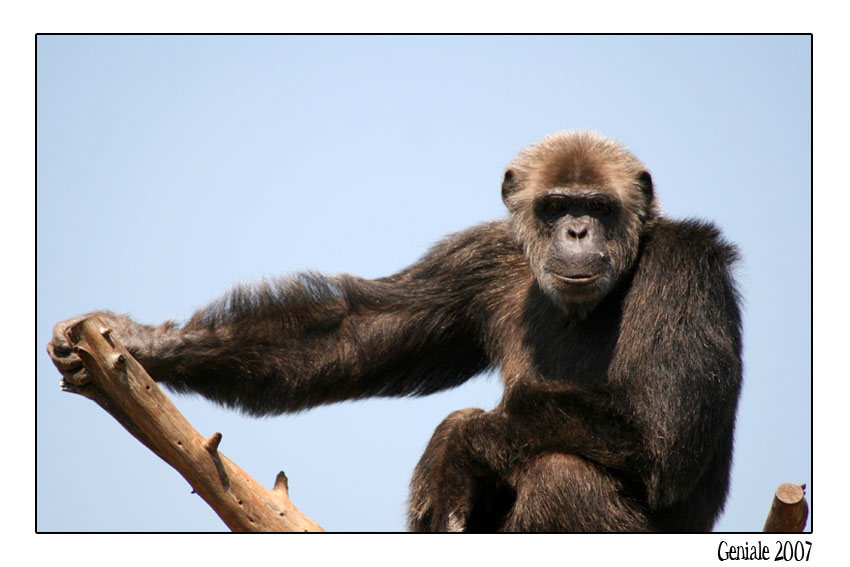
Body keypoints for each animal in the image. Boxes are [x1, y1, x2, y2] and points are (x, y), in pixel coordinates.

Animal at [48, 131, 742, 532]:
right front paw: (139, 342)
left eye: (597, 205)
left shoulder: (687, 273)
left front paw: (458, 440)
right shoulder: (475, 262)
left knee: (563, 475)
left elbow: (661, 430)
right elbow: (354, 332)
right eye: (555, 206)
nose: (576, 229)